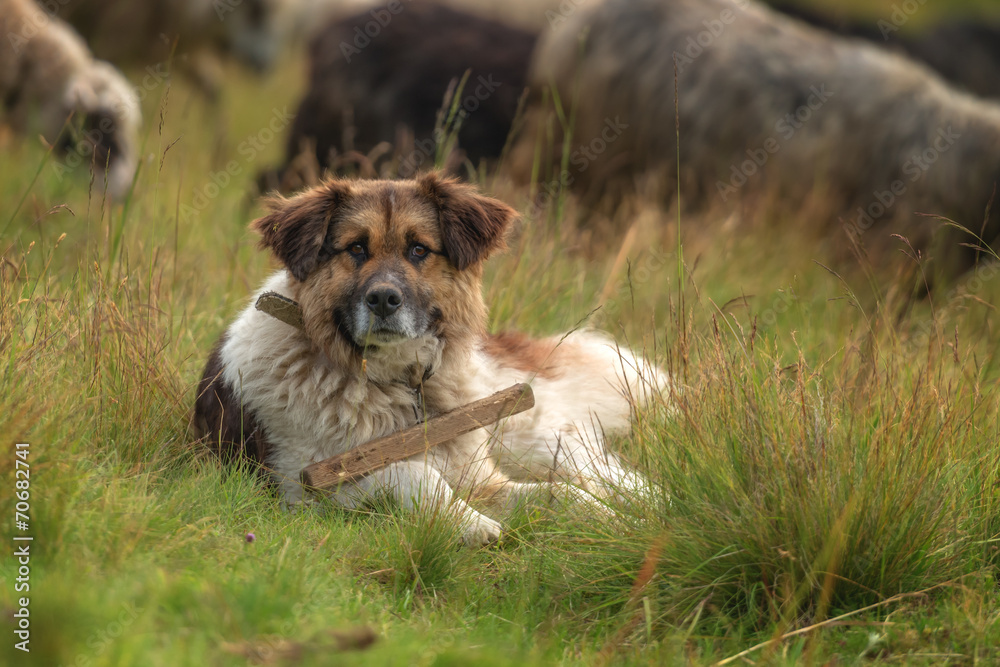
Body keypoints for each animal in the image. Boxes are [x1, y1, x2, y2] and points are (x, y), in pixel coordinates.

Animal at [191, 175, 668, 544]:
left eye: (418, 250)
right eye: (356, 249)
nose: (384, 299)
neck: (396, 384)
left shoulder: (480, 476)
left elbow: (560, 494)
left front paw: (607, 518)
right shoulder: (304, 493)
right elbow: (411, 473)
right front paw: (471, 523)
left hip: (529, 436)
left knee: (604, 475)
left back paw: (656, 502)